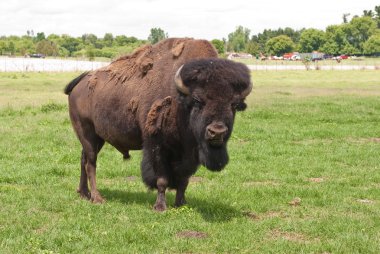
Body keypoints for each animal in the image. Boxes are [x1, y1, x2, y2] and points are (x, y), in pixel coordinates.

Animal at [65, 37, 252, 211]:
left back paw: (84, 193)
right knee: (91, 163)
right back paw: (97, 198)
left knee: (83, 160)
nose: (217, 132)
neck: (181, 100)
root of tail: (80, 82)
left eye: (234, 104)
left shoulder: (189, 154)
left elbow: (184, 180)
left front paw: (181, 203)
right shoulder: (157, 145)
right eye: (198, 100)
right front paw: (160, 207)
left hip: (97, 138)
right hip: (87, 133)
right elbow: (162, 179)